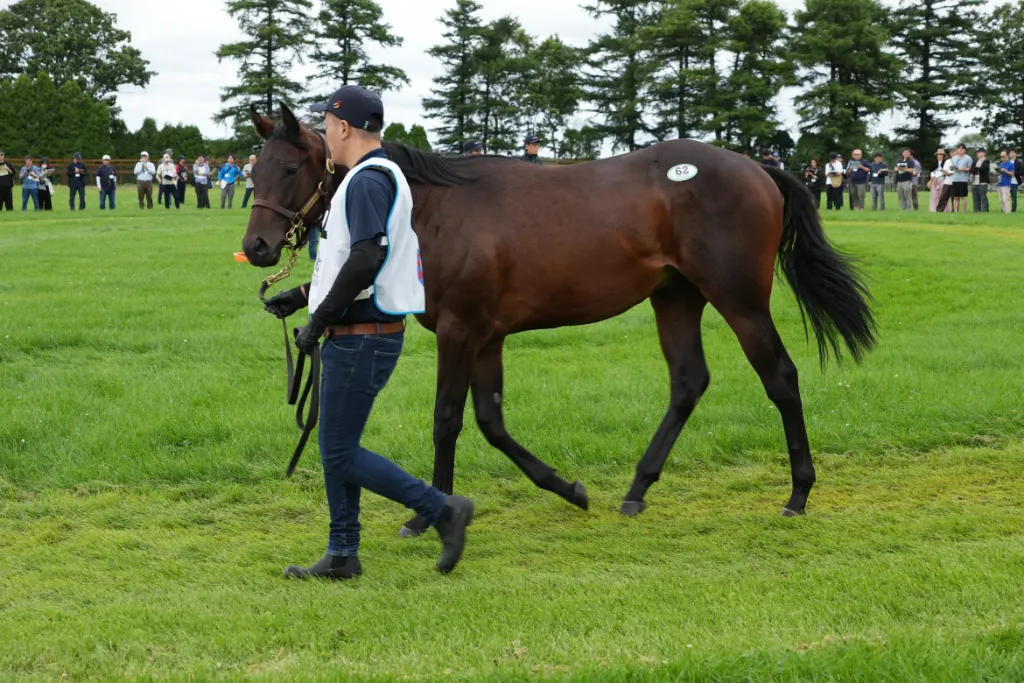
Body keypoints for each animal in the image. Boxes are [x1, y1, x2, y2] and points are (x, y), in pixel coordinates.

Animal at [242, 105, 875, 536]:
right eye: (255, 170)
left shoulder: (460, 331)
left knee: (781, 378)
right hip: (676, 298)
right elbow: (492, 422)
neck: (431, 210)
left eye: (291, 167)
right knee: (688, 383)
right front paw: (568, 488)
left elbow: (448, 421)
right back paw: (637, 489)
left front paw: (427, 516)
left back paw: (798, 492)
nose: (257, 247)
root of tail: (759, 169)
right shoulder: (488, 337)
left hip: (739, 299)